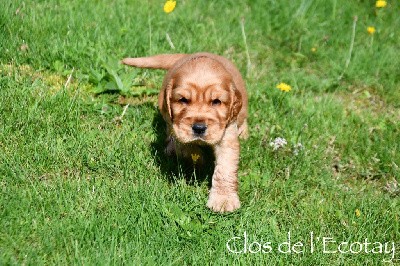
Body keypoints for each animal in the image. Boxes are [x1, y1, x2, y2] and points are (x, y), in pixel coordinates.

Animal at [122, 53, 247, 213]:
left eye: (216, 101)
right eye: (183, 100)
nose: (199, 128)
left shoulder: (227, 134)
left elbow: (225, 169)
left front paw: (223, 200)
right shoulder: (176, 127)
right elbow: (184, 146)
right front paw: (198, 158)